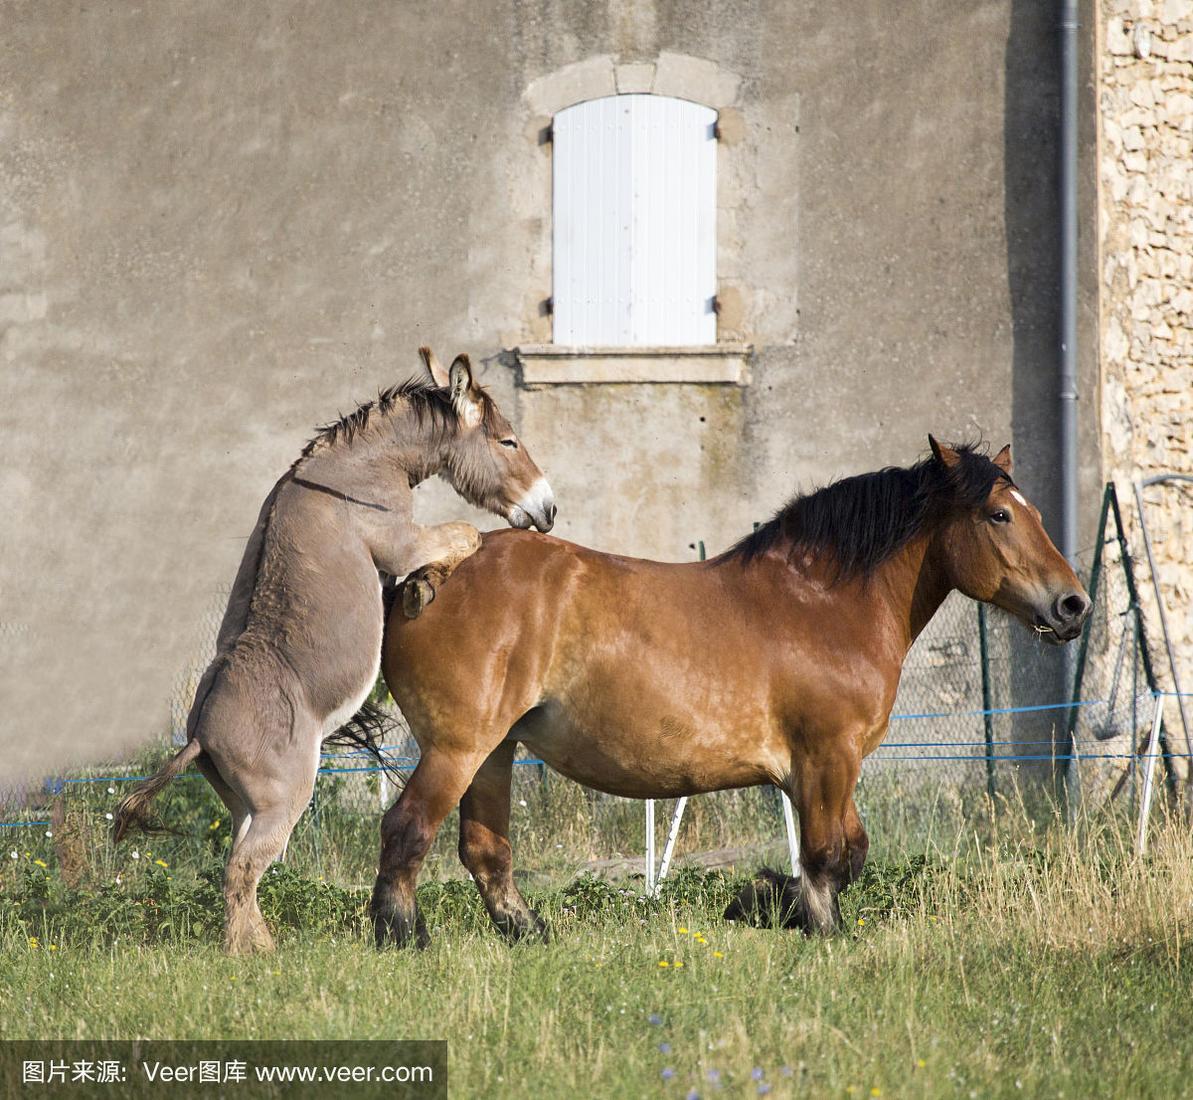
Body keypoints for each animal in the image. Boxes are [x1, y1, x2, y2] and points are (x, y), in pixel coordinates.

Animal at [369, 436, 1092, 944]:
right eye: (998, 514)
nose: (1072, 605)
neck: (821, 603)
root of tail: (423, 577)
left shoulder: (826, 769)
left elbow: (849, 852)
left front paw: (764, 900)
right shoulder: (827, 758)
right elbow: (827, 858)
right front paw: (807, 921)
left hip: (494, 750)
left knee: (484, 850)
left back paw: (528, 933)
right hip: (459, 747)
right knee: (407, 830)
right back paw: (403, 938)